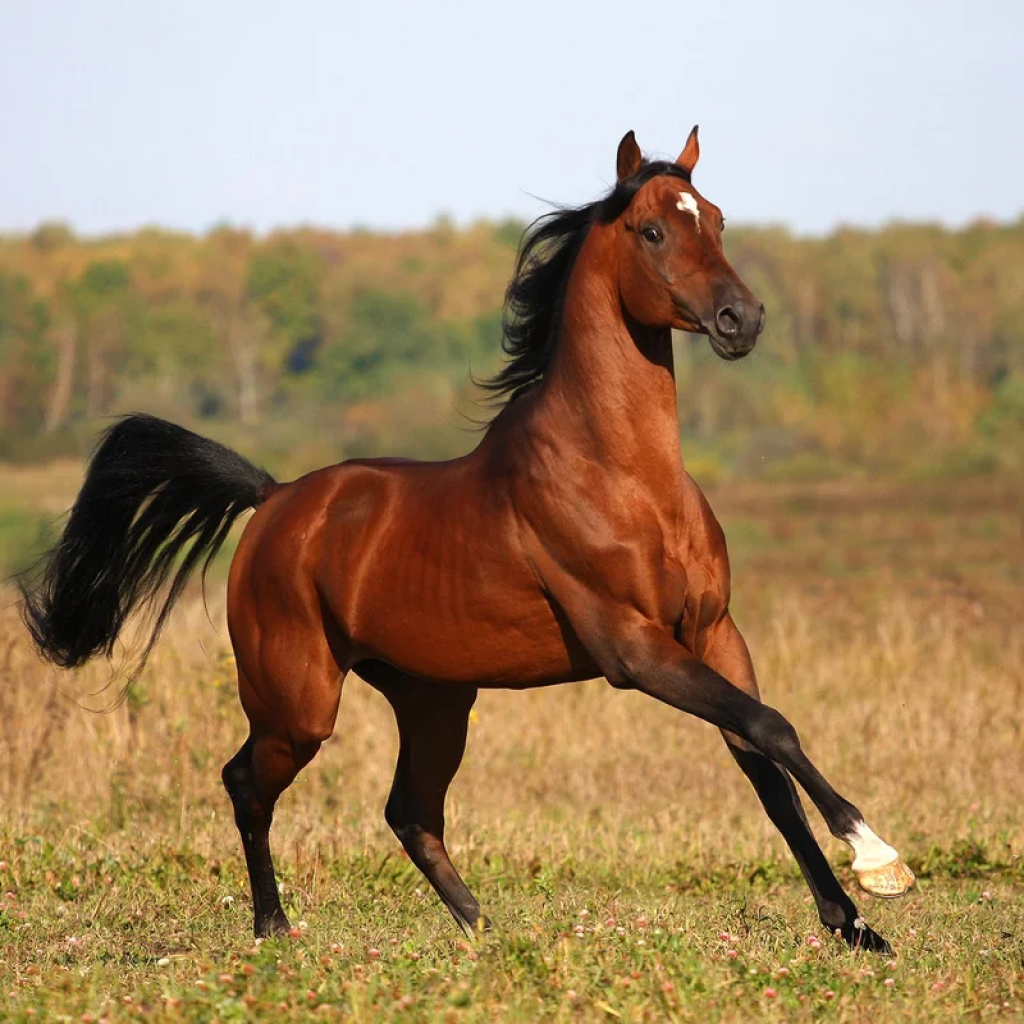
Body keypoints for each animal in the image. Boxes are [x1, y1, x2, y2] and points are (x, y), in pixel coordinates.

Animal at [16, 128, 913, 950]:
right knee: (248, 784)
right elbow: (772, 729)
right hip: (298, 703)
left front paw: (853, 923)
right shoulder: (635, 649)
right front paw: (880, 861)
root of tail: (274, 500)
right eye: (655, 230)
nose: (742, 319)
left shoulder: (714, 633)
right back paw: (275, 928)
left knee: (409, 810)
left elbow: (762, 759)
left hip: (434, 698)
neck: (623, 477)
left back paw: (486, 931)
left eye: (718, 219)